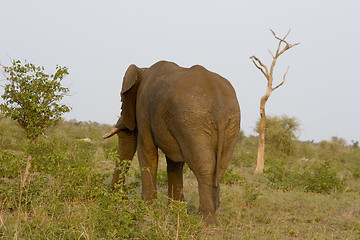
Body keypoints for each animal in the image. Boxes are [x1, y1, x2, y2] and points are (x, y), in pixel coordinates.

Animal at [102, 60, 240, 225]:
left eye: (122, 99)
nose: (120, 199)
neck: (143, 70)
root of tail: (219, 107)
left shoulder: (143, 109)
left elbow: (147, 151)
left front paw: (147, 209)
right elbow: (175, 163)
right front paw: (176, 211)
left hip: (193, 122)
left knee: (204, 166)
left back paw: (206, 221)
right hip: (229, 124)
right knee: (220, 167)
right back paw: (211, 212)